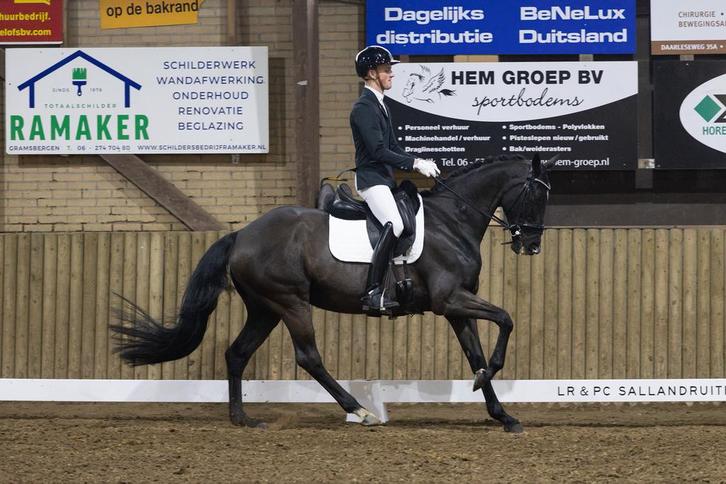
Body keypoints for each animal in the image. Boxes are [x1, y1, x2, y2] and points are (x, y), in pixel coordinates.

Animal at [111, 153, 556, 433]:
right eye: (537, 193)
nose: (533, 245)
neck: (451, 221)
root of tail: (242, 234)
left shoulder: (456, 307)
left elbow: (476, 353)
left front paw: (501, 412)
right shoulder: (450, 300)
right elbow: (506, 319)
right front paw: (488, 383)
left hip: (265, 309)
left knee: (237, 353)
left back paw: (243, 419)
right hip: (291, 303)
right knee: (309, 357)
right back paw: (360, 411)